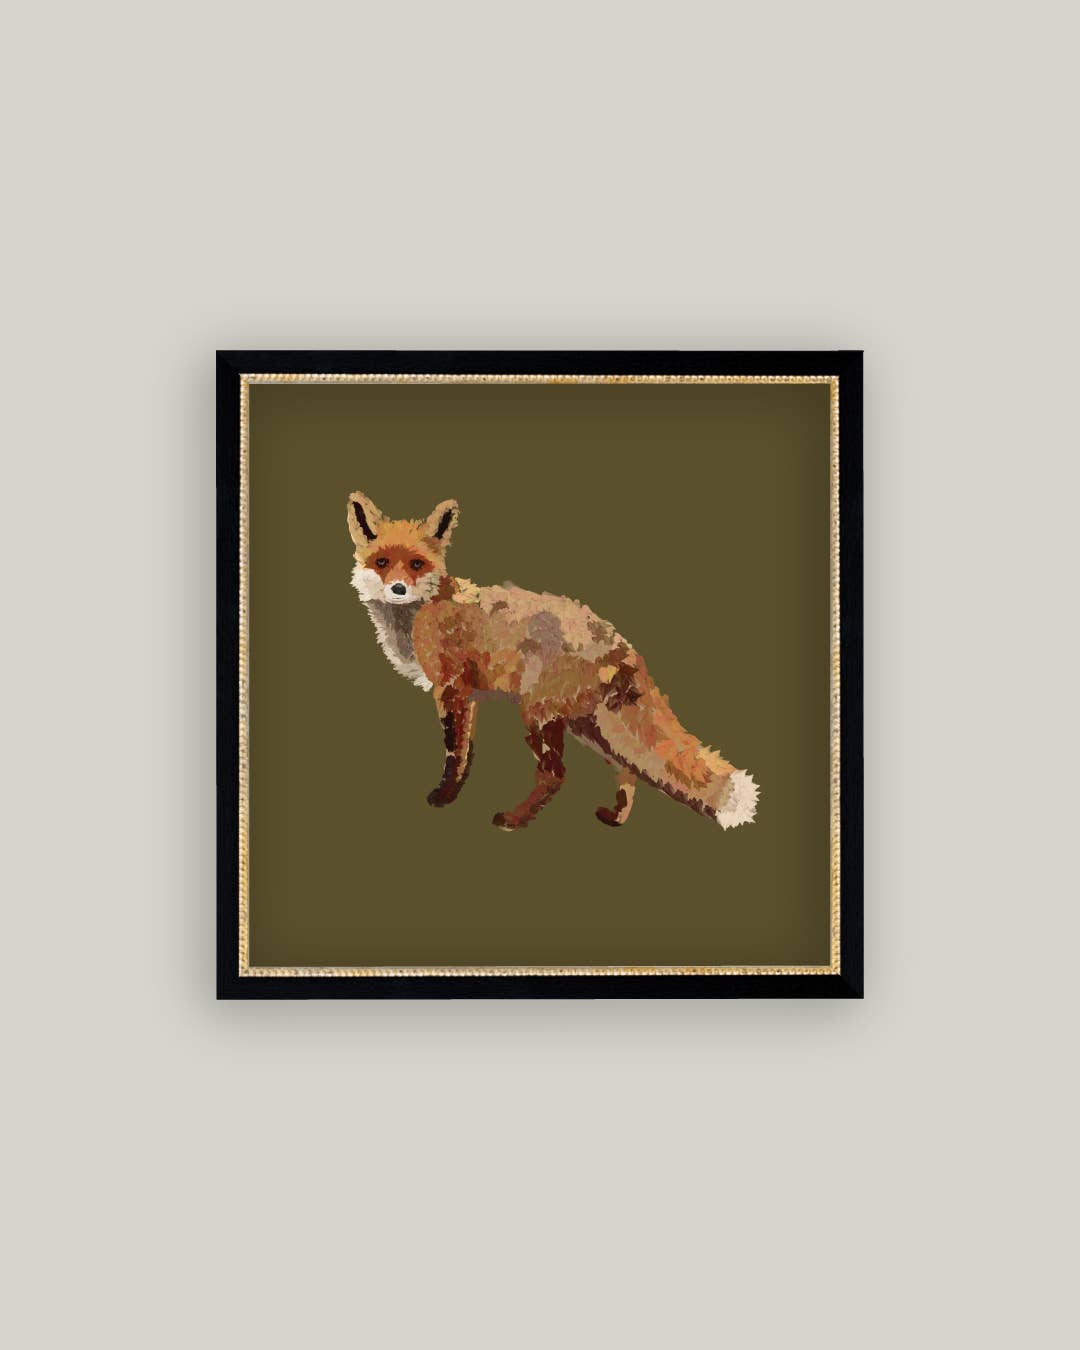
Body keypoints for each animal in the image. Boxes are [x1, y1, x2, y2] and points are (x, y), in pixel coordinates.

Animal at [347, 491, 759, 832]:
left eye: (416, 564)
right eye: (382, 562)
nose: (398, 588)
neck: (420, 613)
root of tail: (620, 642)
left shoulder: (452, 688)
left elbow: (456, 754)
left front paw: (445, 797)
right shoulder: (470, 696)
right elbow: (467, 751)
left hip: (539, 716)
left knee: (555, 774)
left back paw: (514, 820)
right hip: (587, 725)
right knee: (627, 769)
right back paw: (614, 818)